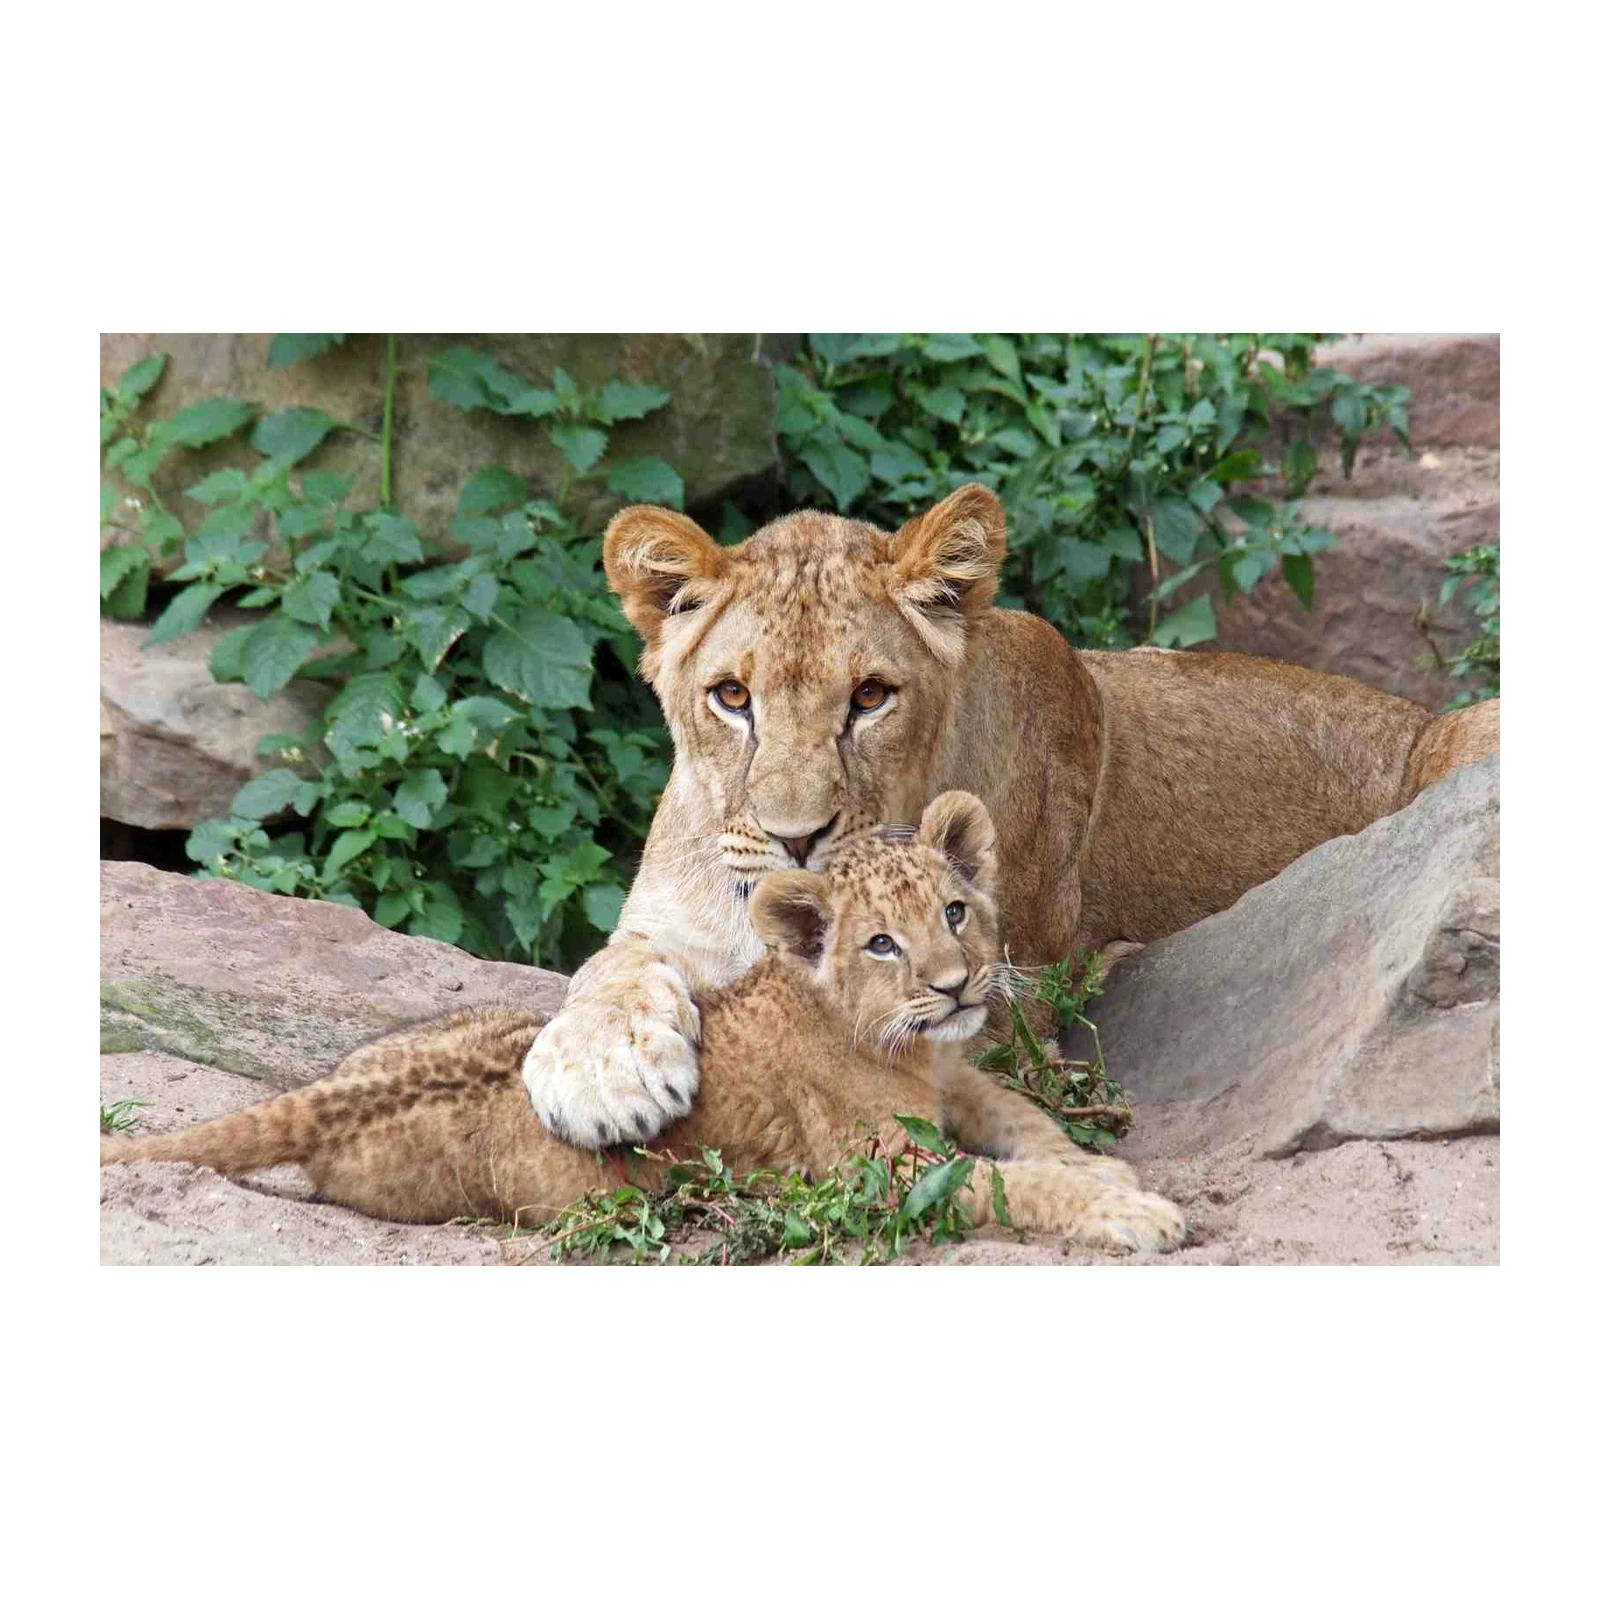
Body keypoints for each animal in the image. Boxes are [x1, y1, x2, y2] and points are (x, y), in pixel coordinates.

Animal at [98, 794, 1186, 1255]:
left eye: (955, 912)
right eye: (881, 943)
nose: (960, 986)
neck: (905, 1046)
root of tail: (332, 1093)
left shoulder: (961, 1078)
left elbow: (1031, 1130)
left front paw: (1104, 1170)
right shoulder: (882, 1174)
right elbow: (1009, 1185)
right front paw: (1129, 1209)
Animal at [522, 482, 1501, 1150]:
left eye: (870, 697)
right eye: (732, 696)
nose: (797, 839)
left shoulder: (997, 999)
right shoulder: (664, 923)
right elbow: (605, 970)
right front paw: (604, 1072)